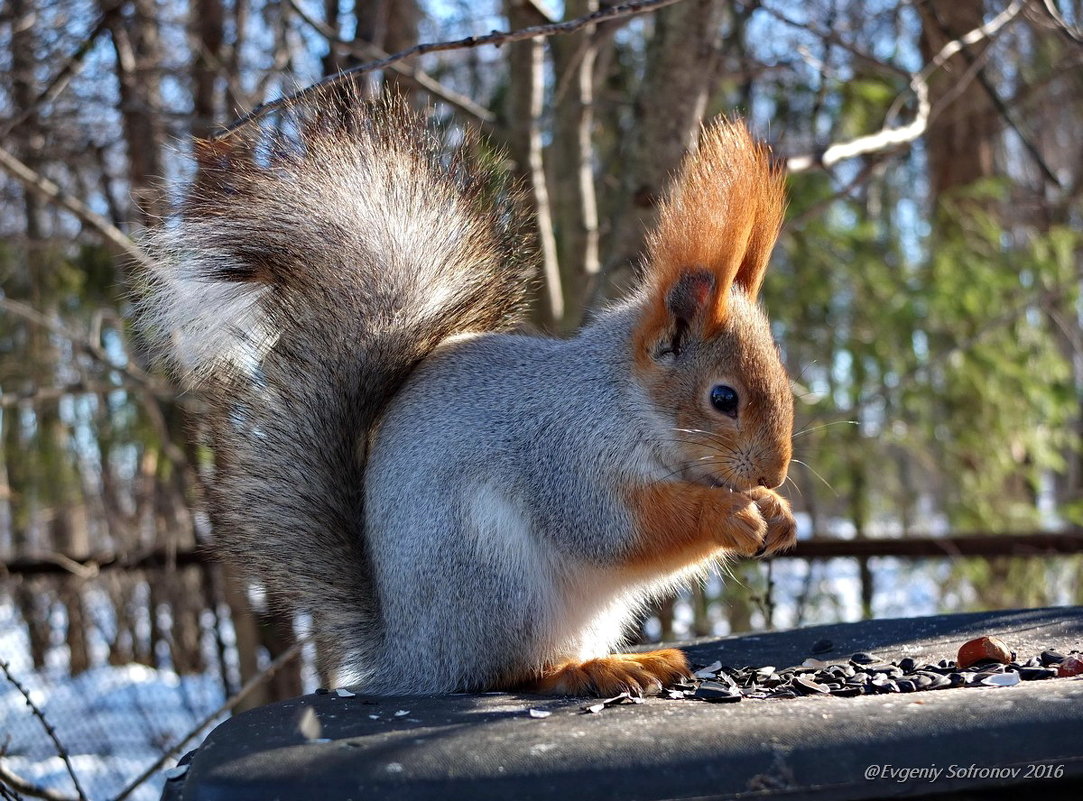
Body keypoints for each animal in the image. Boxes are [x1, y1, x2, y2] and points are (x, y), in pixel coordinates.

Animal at [144, 90, 797, 697]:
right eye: (723, 399)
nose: (775, 471)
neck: (625, 403)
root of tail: (412, 658)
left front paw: (776, 513)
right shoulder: (565, 457)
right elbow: (620, 526)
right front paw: (727, 513)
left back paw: (637, 660)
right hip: (492, 576)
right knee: (504, 672)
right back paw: (585, 671)